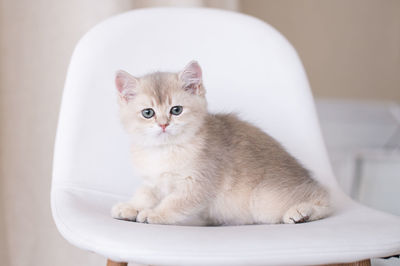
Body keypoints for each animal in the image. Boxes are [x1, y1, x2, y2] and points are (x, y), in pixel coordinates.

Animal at [111, 60, 330, 224]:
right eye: (148, 113)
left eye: (176, 110)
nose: (163, 124)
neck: (165, 150)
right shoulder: (153, 181)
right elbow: (145, 194)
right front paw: (131, 207)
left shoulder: (198, 183)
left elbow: (174, 203)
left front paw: (154, 213)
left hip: (265, 200)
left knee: (325, 198)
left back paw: (302, 212)